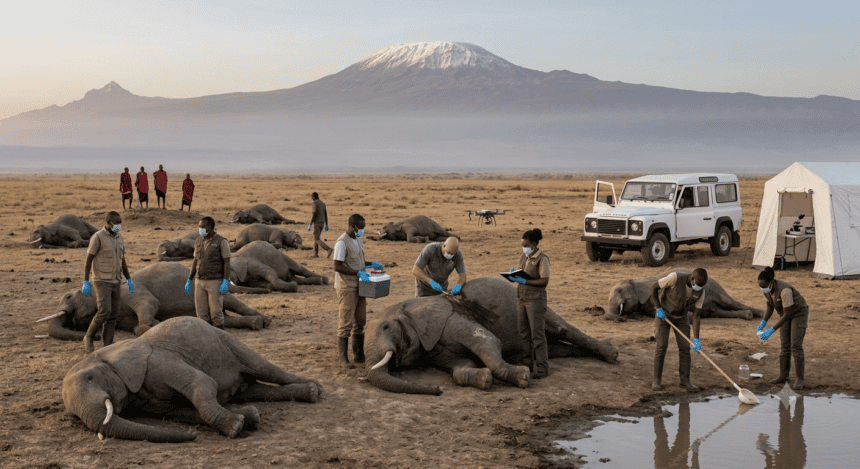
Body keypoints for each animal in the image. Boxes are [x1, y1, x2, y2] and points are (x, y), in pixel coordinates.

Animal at [39, 262, 272, 342]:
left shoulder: (131, 292)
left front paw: (158, 325)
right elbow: (134, 327)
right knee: (226, 318)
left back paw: (264, 320)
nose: (95, 337)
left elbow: (149, 304)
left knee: (234, 304)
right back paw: (255, 323)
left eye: (69, 297)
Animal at [62, 316, 322, 442]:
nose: (192, 437)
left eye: (90, 377)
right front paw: (247, 418)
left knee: (264, 368)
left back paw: (315, 390)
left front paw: (235, 428)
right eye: (73, 415)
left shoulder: (159, 362)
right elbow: (180, 411)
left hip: (228, 341)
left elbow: (203, 384)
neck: (112, 351)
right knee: (257, 390)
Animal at [364, 277, 619, 395]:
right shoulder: (434, 347)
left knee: (563, 329)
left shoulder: (452, 318)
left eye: (386, 327)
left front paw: (522, 378)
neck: (412, 305)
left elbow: (487, 342)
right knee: (558, 347)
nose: (438, 390)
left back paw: (611, 355)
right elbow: (460, 367)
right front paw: (484, 379)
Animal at [605, 268, 764, 322]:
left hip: (716, 288)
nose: (623, 319)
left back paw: (757, 314)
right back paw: (748, 315)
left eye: (620, 291)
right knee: (718, 312)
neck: (638, 280)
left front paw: (688, 316)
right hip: (713, 307)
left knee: (730, 302)